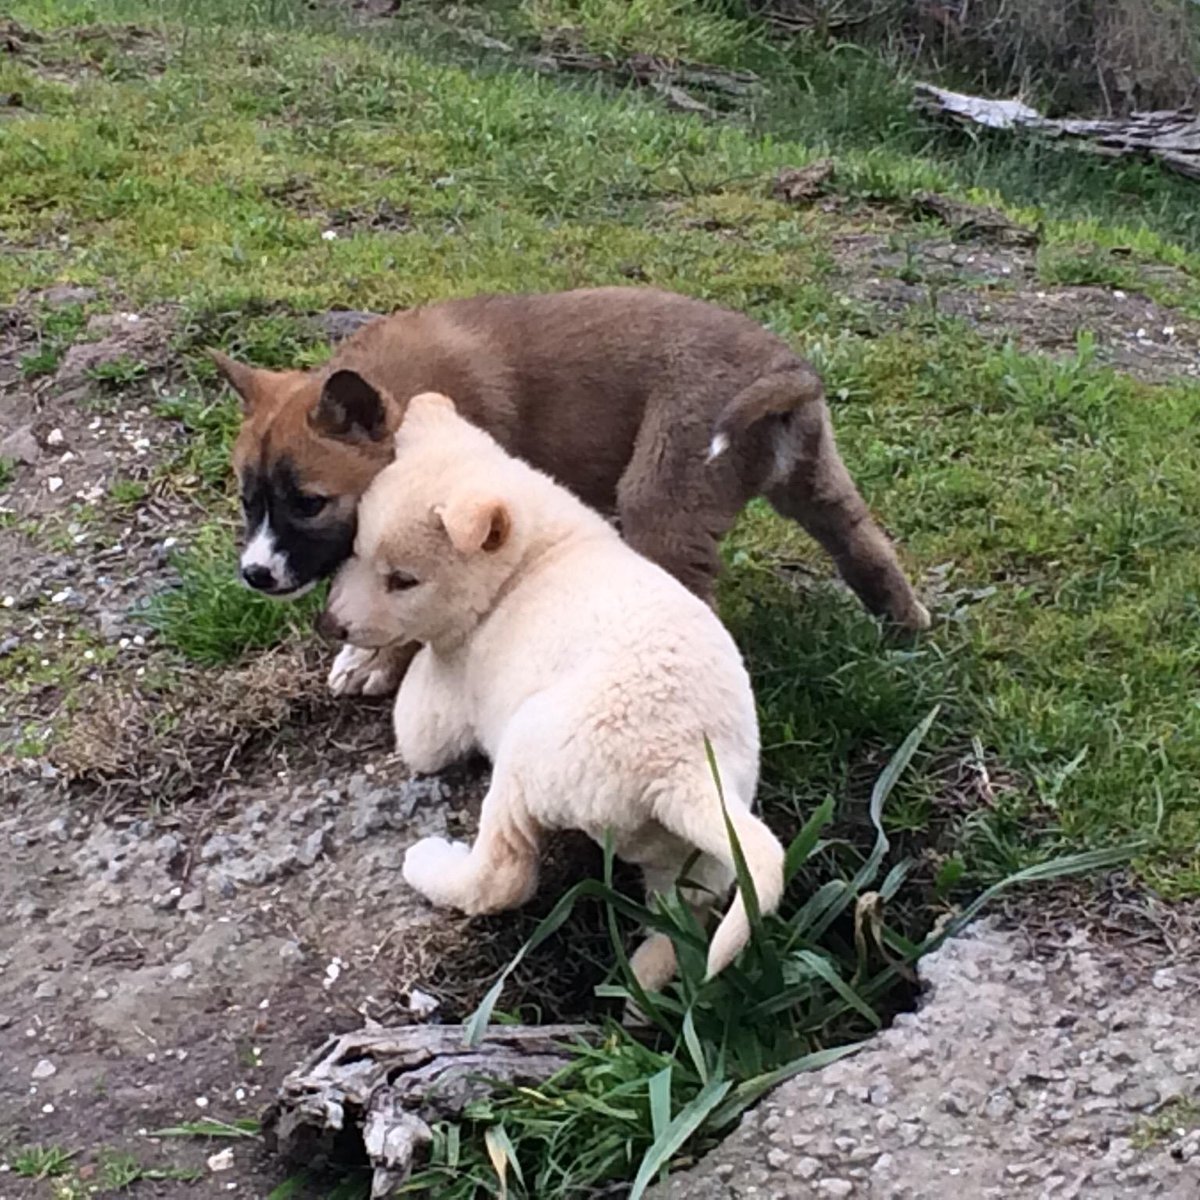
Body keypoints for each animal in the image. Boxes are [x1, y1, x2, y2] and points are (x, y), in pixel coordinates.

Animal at [321, 393, 787, 984]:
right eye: (355, 550)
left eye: (403, 580)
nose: (330, 625)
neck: (530, 557)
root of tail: (679, 768)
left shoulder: (443, 693)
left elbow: (417, 722)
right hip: (700, 850)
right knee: (686, 917)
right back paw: (638, 984)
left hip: (526, 758)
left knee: (502, 877)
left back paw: (432, 865)